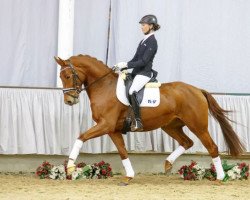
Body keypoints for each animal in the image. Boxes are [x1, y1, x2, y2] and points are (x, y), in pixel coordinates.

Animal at [54, 54, 244, 184]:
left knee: (212, 147)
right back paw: (168, 163)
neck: (104, 87)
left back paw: (220, 177)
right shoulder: (112, 129)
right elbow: (122, 152)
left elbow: (80, 137)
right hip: (171, 126)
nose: (69, 101)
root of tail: (198, 90)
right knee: (187, 142)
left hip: (198, 126)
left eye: (68, 76)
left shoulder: (105, 125)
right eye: (61, 77)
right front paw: (129, 176)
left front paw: (70, 167)